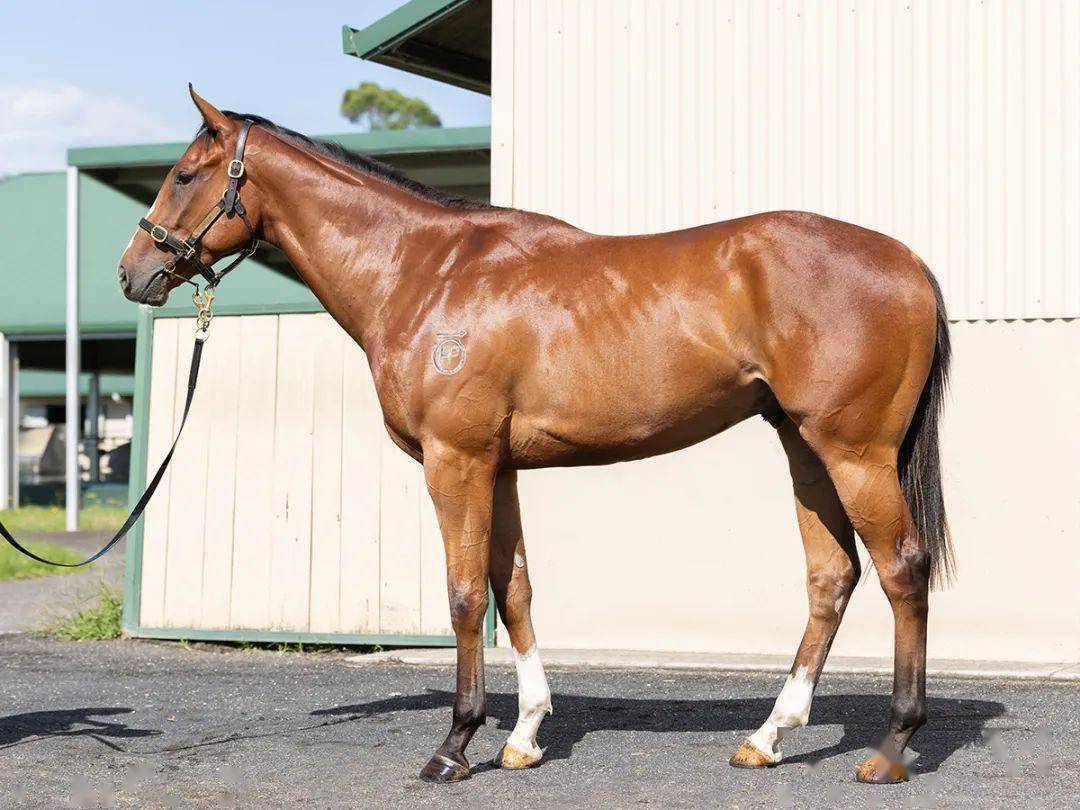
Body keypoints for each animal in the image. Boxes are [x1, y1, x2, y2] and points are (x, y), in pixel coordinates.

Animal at [118, 88, 954, 786]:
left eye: (186, 174)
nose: (133, 271)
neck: (424, 270)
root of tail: (909, 262)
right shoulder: (500, 467)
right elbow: (512, 587)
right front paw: (522, 736)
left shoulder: (455, 463)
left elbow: (462, 595)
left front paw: (454, 745)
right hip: (805, 448)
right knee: (831, 576)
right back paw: (768, 737)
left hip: (854, 454)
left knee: (901, 569)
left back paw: (891, 747)